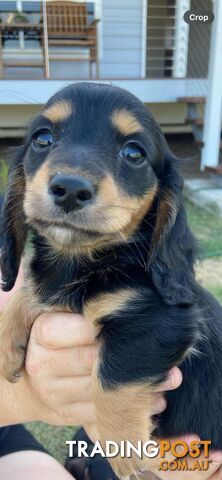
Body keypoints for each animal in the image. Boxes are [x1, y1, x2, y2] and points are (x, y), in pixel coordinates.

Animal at [0, 81, 222, 476]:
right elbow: (32, 288)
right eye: (43, 139)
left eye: (134, 153)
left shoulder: (160, 321)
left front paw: (124, 451)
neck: (82, 261)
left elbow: (112, 376)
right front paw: (8, 344)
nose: (70, 189)